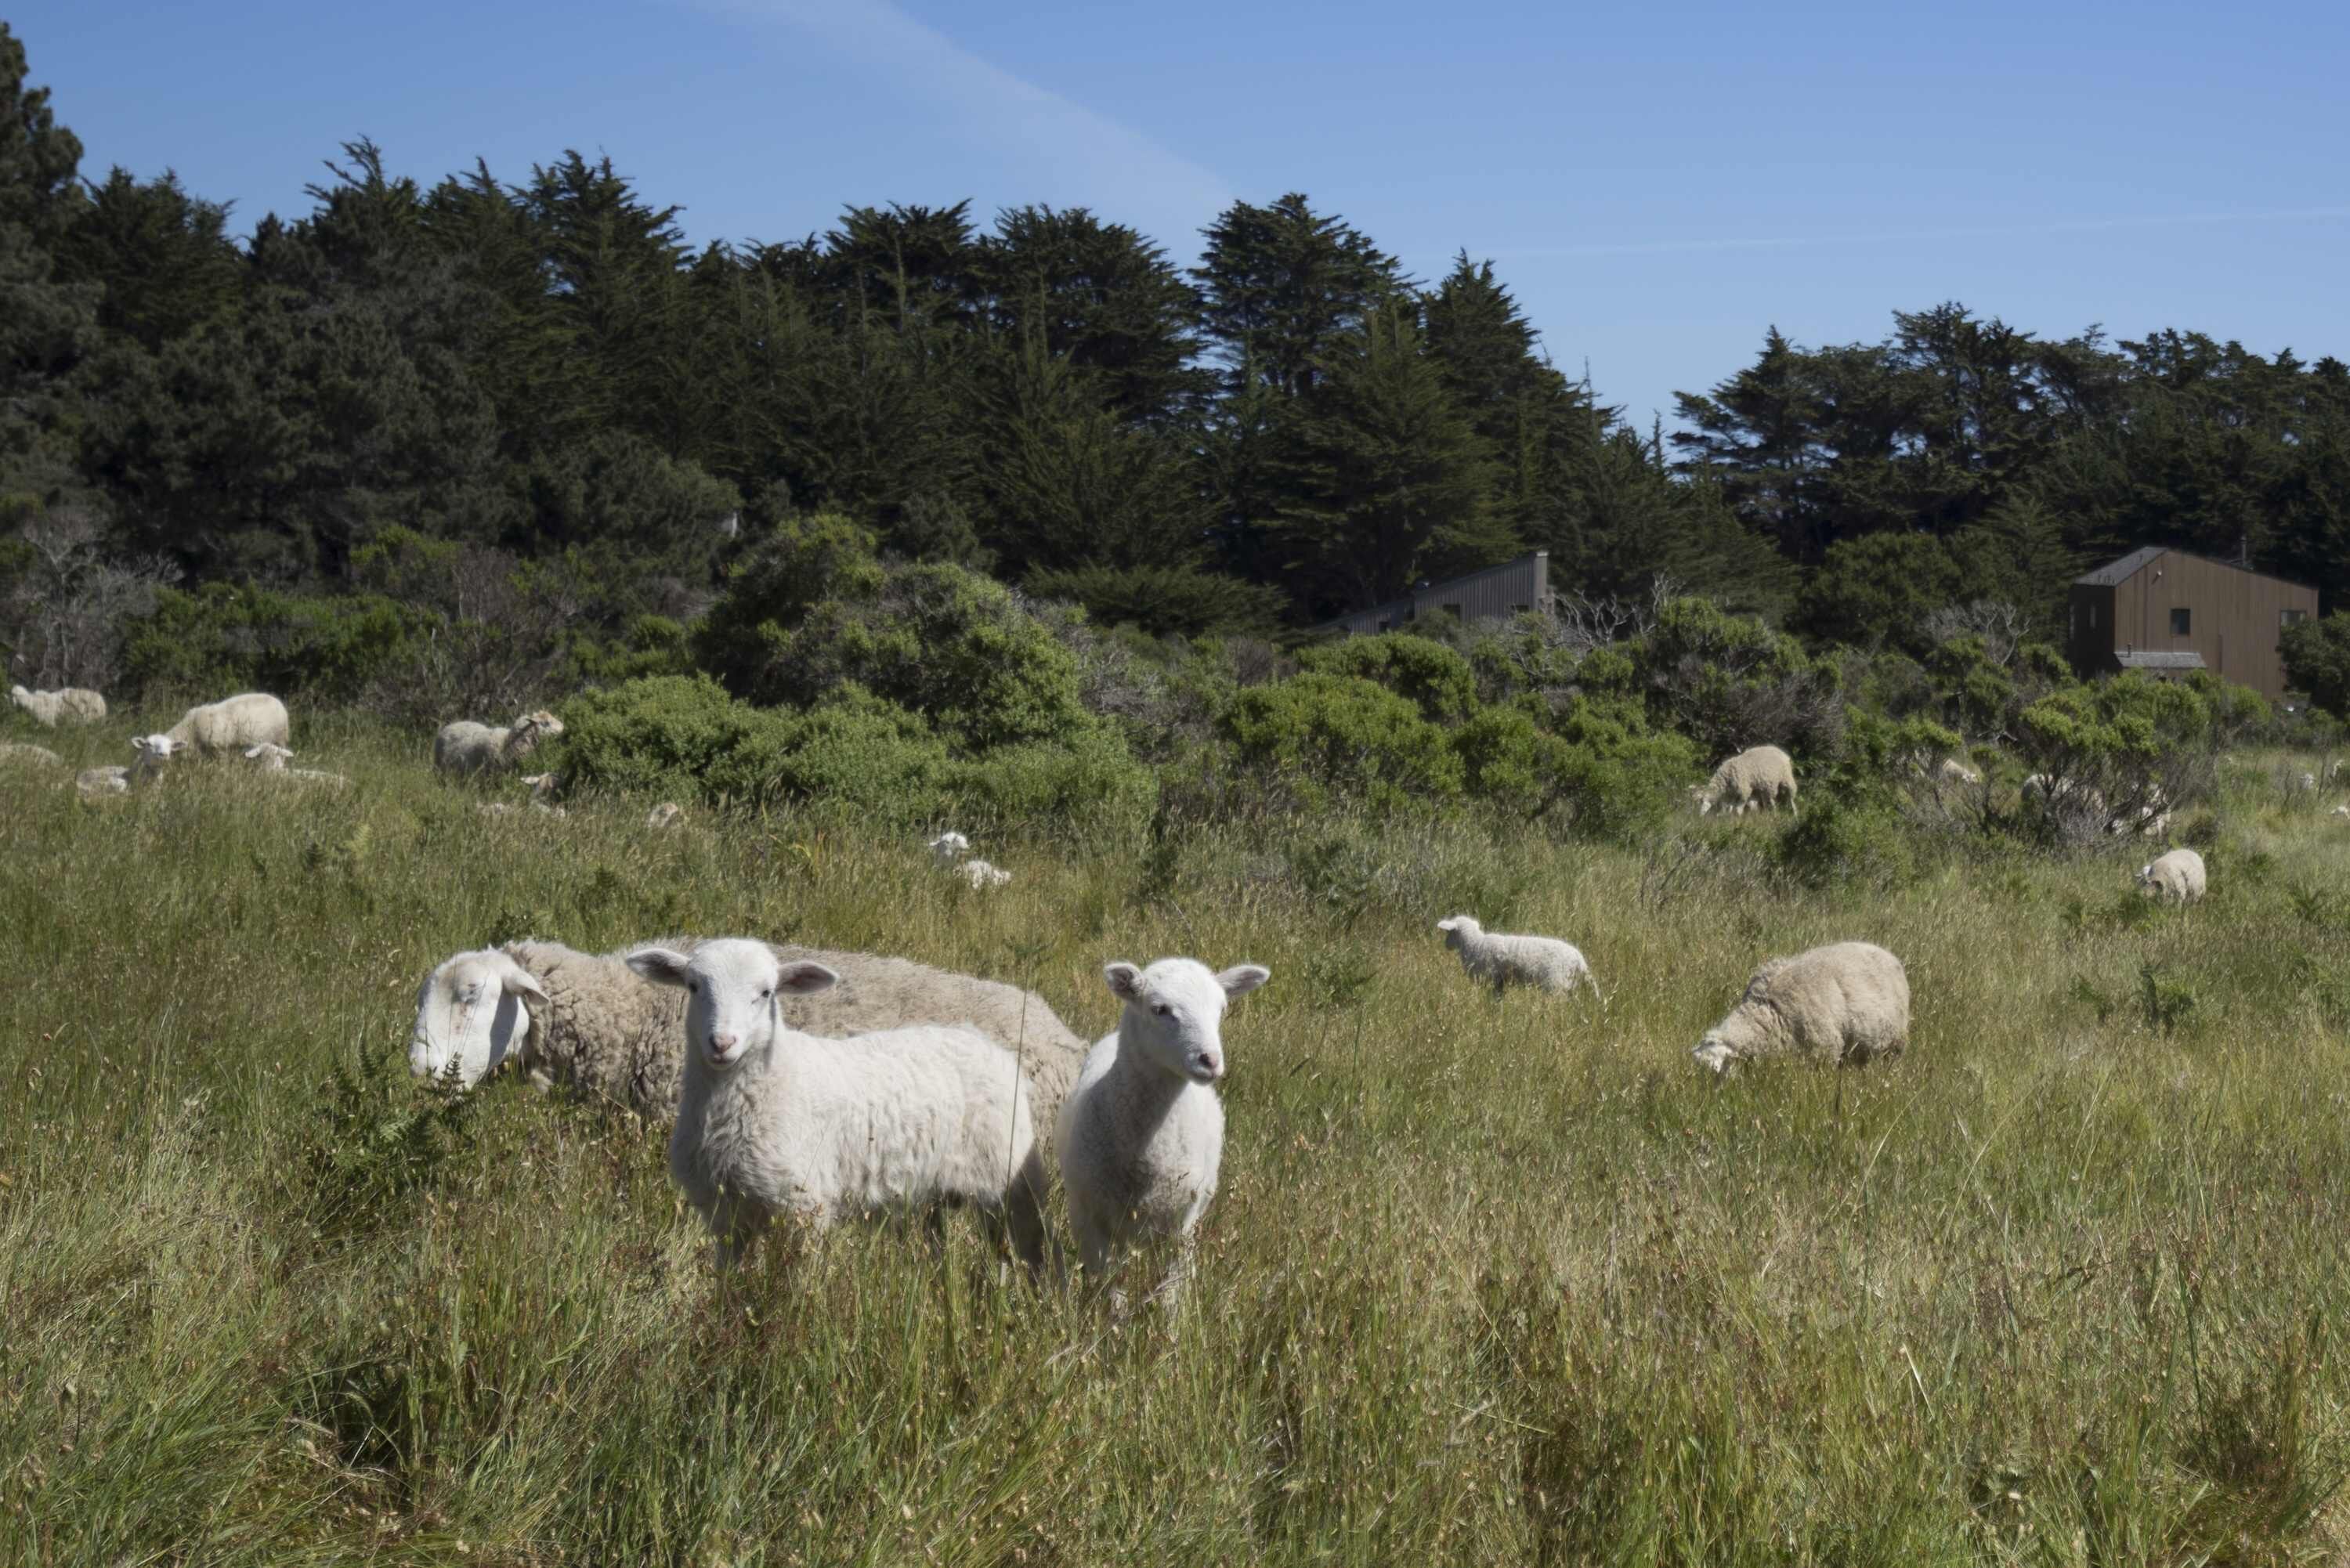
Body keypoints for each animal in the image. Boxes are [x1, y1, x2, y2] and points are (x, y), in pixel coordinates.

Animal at [628, 939, 1050, 1272]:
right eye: (693, 986)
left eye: (766, 993)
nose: (722, 1043)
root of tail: (981, 1040)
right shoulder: (726, 1217)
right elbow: (728, 1284)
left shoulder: (803, 1209)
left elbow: (796, 1288)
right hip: (936, 1194)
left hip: (1012, 1177)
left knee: (1036, 1247)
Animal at [1057, 957, 1269, 1312]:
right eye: (1160, 1009)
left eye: (1222, 1008)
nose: (1210, 1060)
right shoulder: (1087, 1217)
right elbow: (1108, 1286)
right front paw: (1112, 1324)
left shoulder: (1181, 1221)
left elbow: (1171, 1288)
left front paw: (1170, 1325)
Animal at [1433, 915, 1596, 997]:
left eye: (1449, 932)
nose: (1445, 945)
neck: (1475, 943)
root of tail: (1580, 960)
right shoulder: (1499, 983)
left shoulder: (1488, 979)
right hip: (1569, 985)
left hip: (1556, 985)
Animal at [1691, 745, 1798, 817]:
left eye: (1702, 802)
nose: (1699, 816)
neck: (1726, 778)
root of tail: (1782, 753)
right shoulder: (1733, 794)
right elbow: (1728, 808)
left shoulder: (1744, 791)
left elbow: (1738, 810)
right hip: (1764, 787)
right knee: (1769, 801)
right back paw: (1771, 814)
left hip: (1787, 779)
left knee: (1791, 798)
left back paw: (1795, 814)